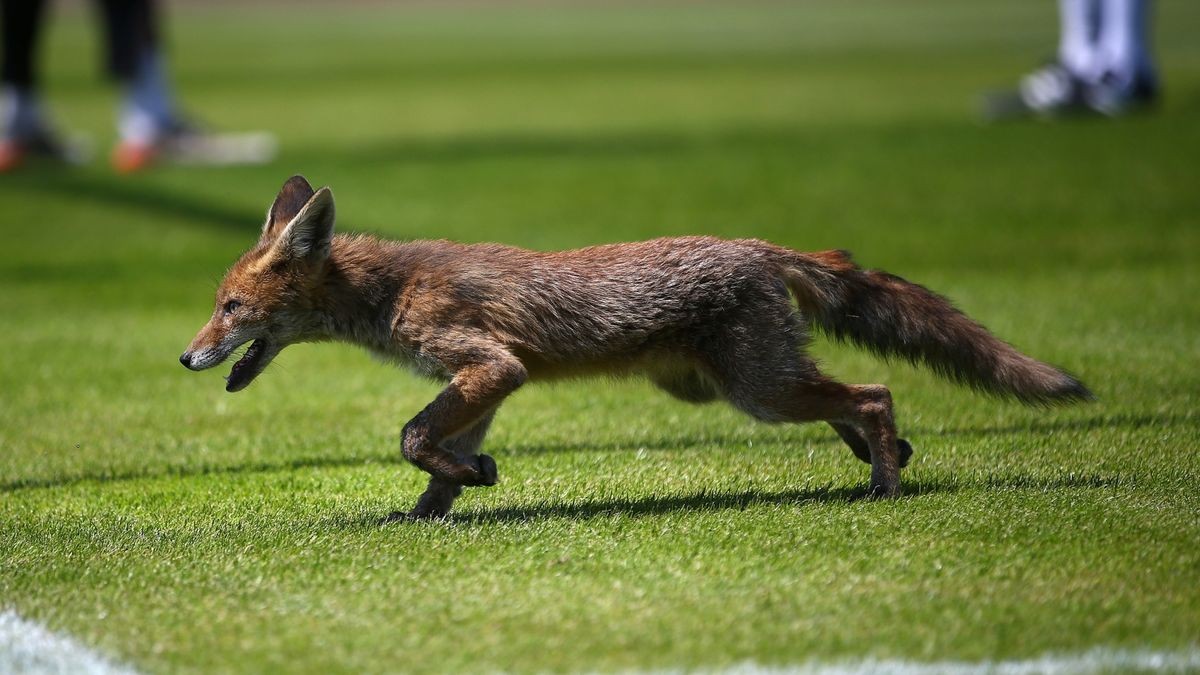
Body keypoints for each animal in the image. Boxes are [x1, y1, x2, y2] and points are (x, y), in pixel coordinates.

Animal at [182, 176, 1094, 516]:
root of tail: (759, 245)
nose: (187, 359)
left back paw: (884, 482)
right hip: (724, 385)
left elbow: (411, 436)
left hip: (756, 391)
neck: (390, 289)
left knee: (872, 393)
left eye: (230, 308)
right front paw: (431, 512)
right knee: (853, 398)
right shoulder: (482, 379)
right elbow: (440, 455)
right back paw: (886, 456)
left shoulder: (492, 364)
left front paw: (463, 483)